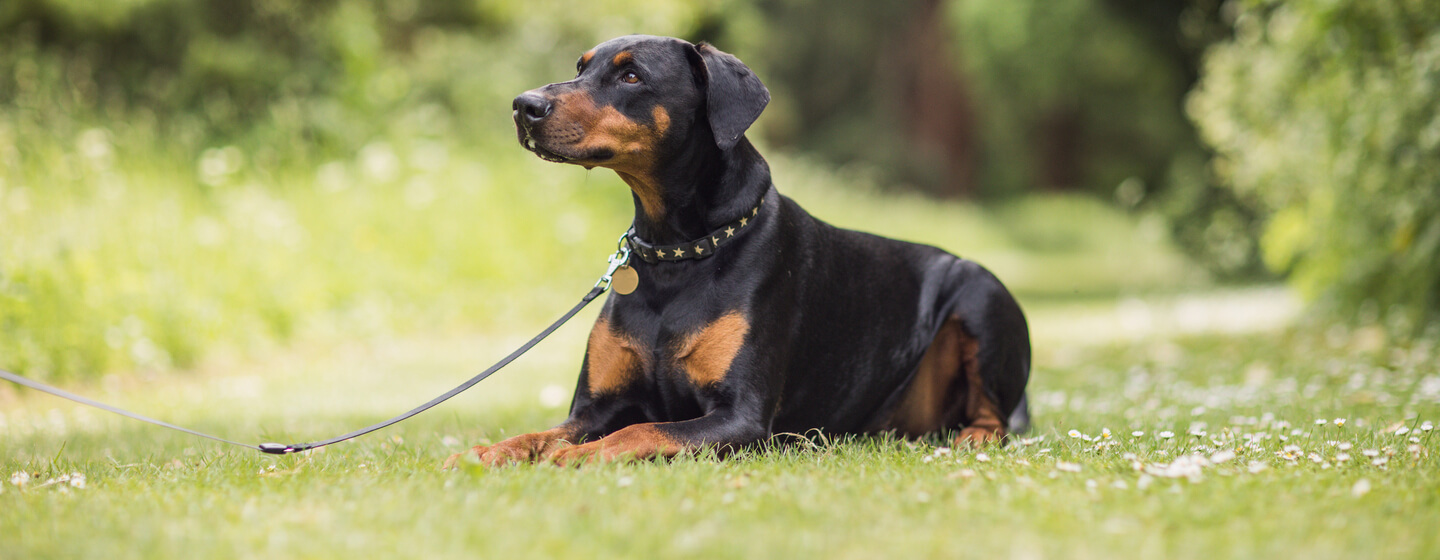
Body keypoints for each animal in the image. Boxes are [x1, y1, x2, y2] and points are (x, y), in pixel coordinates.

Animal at [446, 33, 1025, 463]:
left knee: (996, 418)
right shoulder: (594, 408)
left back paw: (972, 437)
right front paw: (486, 451)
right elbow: (541, 433)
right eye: (581, 67)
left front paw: (578, 456)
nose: (524, 105)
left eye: (631, 75)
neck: (676, 253)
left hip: (981, 294)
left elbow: (642, 431)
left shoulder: (740, 417)